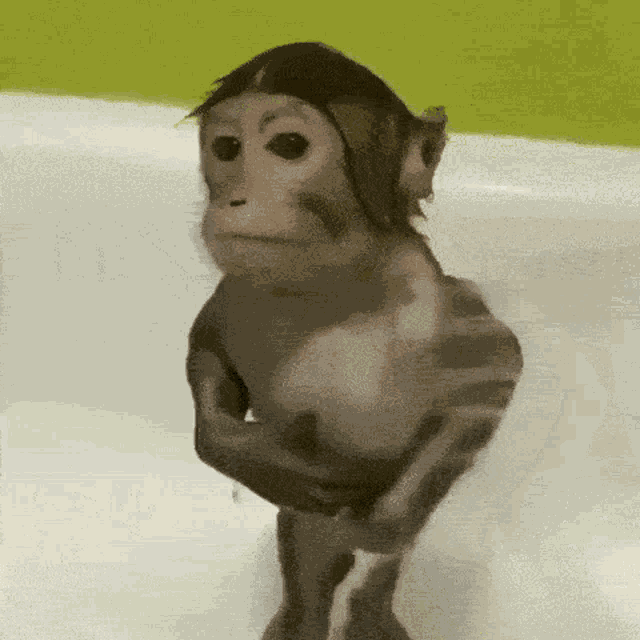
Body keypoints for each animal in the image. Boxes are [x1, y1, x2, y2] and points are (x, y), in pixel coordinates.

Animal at [185, 42, 523, 640]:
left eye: (288, 146)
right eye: (226, 149)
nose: (234, 199)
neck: (330, 289)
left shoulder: (433, 309)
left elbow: (496, 371)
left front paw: (390, 518)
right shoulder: (234, 292)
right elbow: (209, 346)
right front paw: (246, 452)